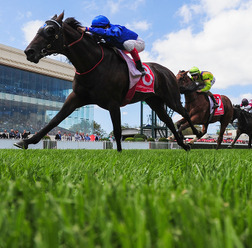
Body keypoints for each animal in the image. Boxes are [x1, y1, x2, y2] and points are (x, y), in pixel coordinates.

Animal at [15, 13, 201, 151]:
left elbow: (117, 130)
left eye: (50, 29)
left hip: (171, 98)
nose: (29, 51)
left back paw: (196, 135)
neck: (93, 63)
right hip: (154, 101)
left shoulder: (113, 102)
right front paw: (26, 141)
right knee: (168, 120)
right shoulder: (76, 97)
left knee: (184, 112)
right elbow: (54, 120)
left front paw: (119, 154)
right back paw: (183, 144)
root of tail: (167, 71)